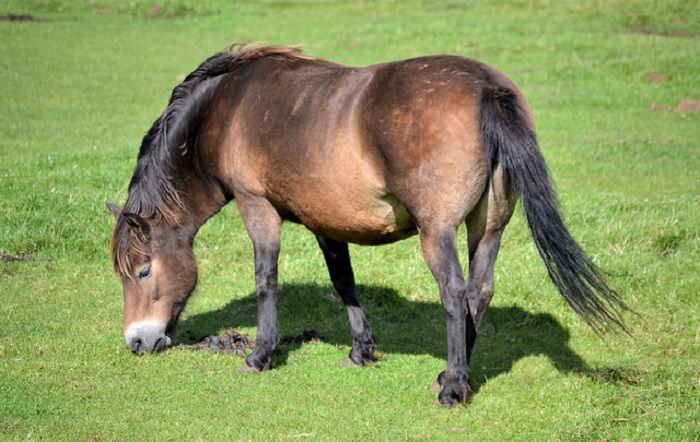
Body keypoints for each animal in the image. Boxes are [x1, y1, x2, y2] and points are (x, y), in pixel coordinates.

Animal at [108, 44, 628, 405]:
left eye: (144, 271)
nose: (138, 342)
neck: (227, 109)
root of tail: (486, 88)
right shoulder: (325, 220)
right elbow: (344, 282)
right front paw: (361, 349)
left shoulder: (258, 207)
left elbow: (265, 279)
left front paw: (261, 354)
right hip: (489, 226)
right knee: (480, 292)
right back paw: (452, 374)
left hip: (437, 232)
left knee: (455, 293)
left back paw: (453, 387)